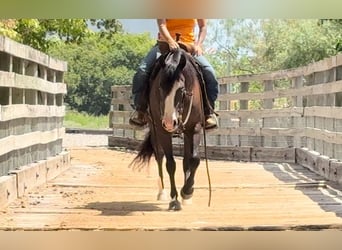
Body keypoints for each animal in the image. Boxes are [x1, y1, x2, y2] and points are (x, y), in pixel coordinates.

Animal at [130, 47, 206, 211]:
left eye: (181, 89)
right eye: (160, 87)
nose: (170, 122)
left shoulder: (195, 127)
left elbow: (194, 159)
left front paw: (187, 192)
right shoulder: (162, 130)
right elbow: (170, 164)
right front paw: (174, 199)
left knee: (186, 160)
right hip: (154, 130)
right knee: (159, 157)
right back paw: (162, 193)